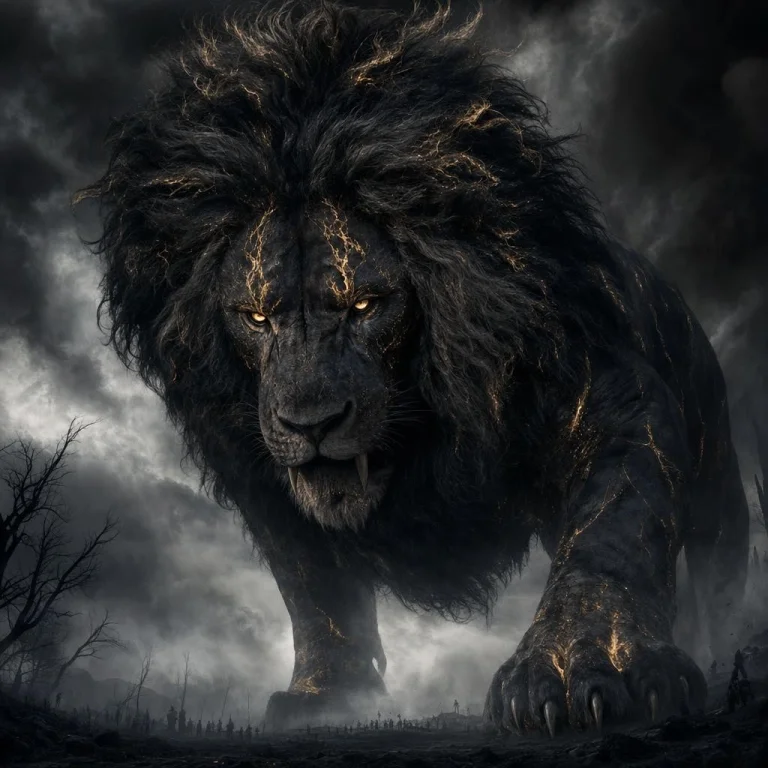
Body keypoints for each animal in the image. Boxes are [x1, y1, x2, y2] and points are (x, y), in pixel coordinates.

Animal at [77, 1, 749, 736]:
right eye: (255, 317)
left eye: (366, 305)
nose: (309, 424)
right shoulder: (263, 478)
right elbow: (316, 590)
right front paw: (328, 696)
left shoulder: (610, 400)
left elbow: (613, 535)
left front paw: (582, 667)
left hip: (718, 481)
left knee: (720, 568)